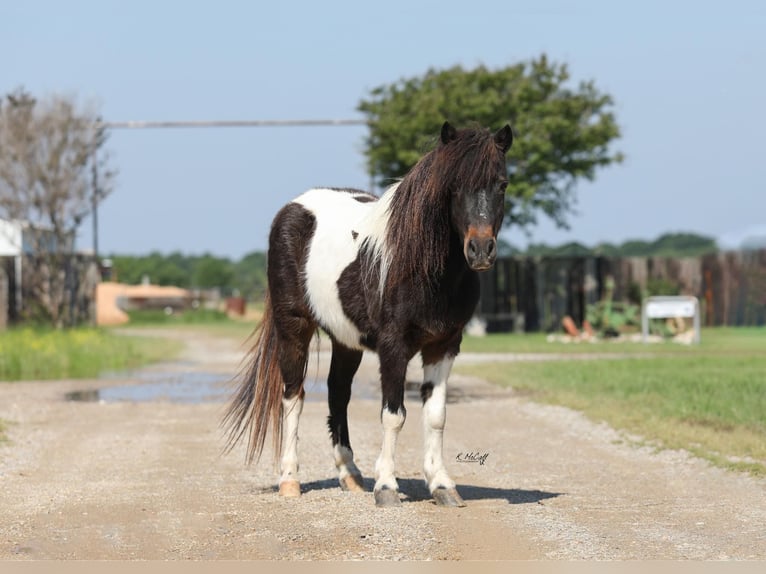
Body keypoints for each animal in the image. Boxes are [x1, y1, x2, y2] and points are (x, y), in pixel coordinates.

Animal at [226, 121, 516, 508]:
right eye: (454, 186)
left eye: (502, 184)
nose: (481, 250)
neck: (420, 265)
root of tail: (293, 208)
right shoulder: (394, 347)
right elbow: (394, 415)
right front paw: (387, 487)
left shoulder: (444, 345)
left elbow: (436, 416)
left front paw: (442, 485)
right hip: (293, 329)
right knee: (293, 397)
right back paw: (289, 480)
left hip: (346, 340)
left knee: (337, 394)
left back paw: (350, 474)